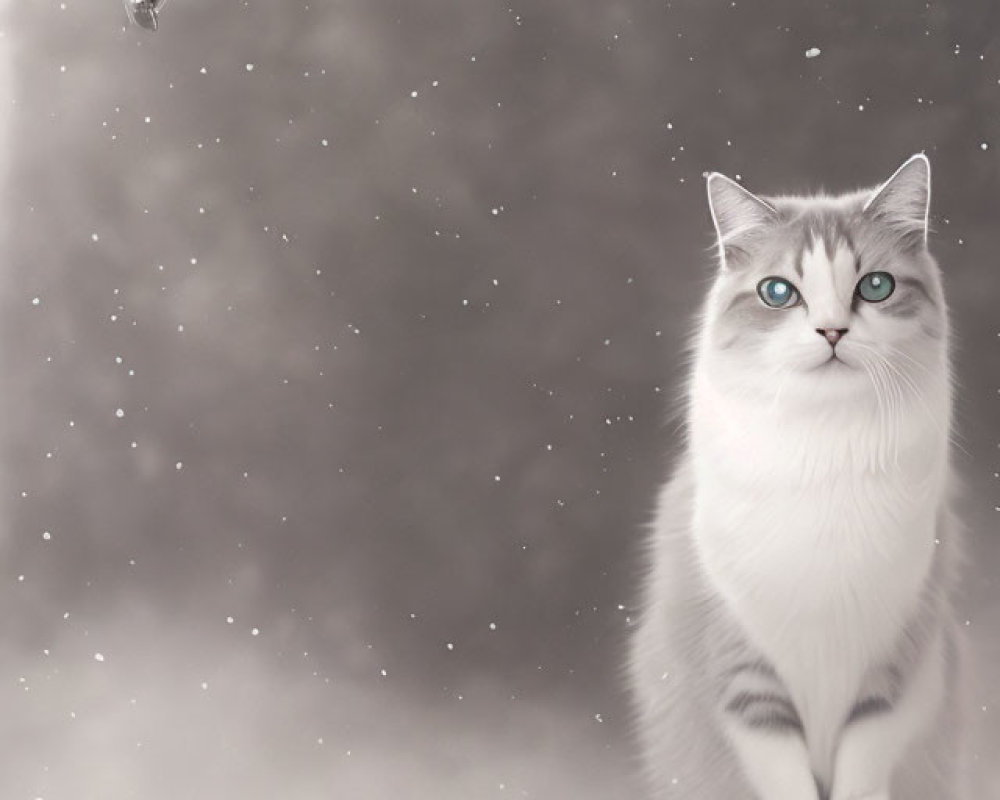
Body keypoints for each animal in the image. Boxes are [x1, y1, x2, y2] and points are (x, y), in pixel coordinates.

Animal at [632, 156, 968, 800]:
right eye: (777, 293)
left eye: (876, 286)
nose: (832, 332)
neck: (825, 450)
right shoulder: (743, 675)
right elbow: (785, 778)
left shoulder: (894, 667)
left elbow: (861, 770)